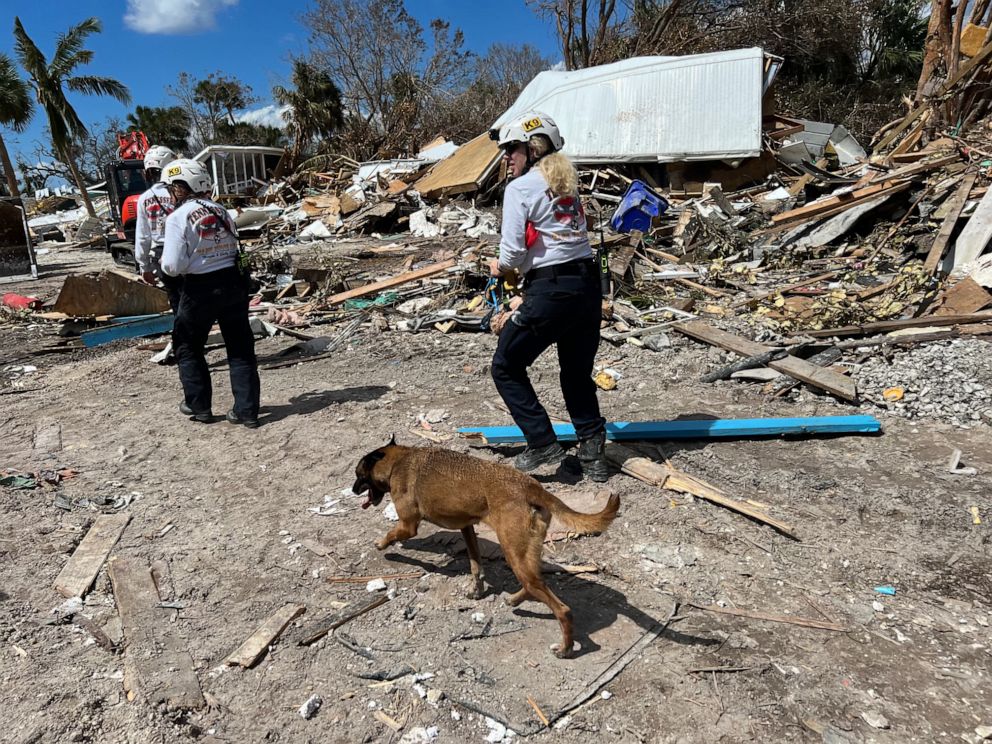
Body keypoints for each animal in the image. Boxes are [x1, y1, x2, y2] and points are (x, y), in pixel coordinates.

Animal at [352, 436, 620, 656]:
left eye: (359, 475)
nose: (353, 490)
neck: (398, 461)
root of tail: (531, 487)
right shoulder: (467, 527)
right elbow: (475, 564)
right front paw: (477, 589)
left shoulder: (408, 526)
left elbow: (392, 533)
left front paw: (381, 544)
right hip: (524, 553)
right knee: (535, 583)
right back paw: (514, 600)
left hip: (513, 551)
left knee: (560, 607)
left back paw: (565, 649)